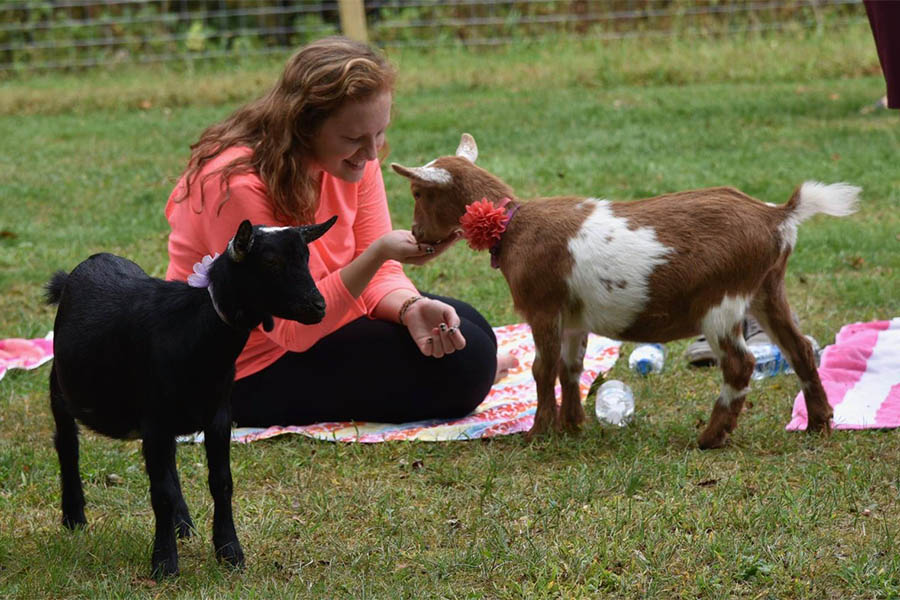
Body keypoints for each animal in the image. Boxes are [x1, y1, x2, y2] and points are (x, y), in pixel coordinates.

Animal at [44, 216, 336, 576]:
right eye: (271, 262)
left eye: (306, 258)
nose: (318, 307)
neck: (194, 330)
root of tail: (89, 263)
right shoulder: (154, 420)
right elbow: (161, 494)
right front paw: (164, 563)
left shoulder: (218, 416)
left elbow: (221, 482)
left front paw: (229, 552)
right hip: (60, 388)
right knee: (67, 445)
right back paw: (74, 516)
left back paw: (183, 523)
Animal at [392, 134, 856, 448]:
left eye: (417, 191)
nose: (416, 233)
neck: (511, 225)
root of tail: (776, 217)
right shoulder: (572, 318)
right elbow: (570, 367)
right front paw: (573, 425)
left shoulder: (542, 309)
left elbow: (543, 368)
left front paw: (540, 433)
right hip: (766, 290)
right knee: (799, 349)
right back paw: (818, 423)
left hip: (722, 302)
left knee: (740, 366)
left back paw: (711, 437)